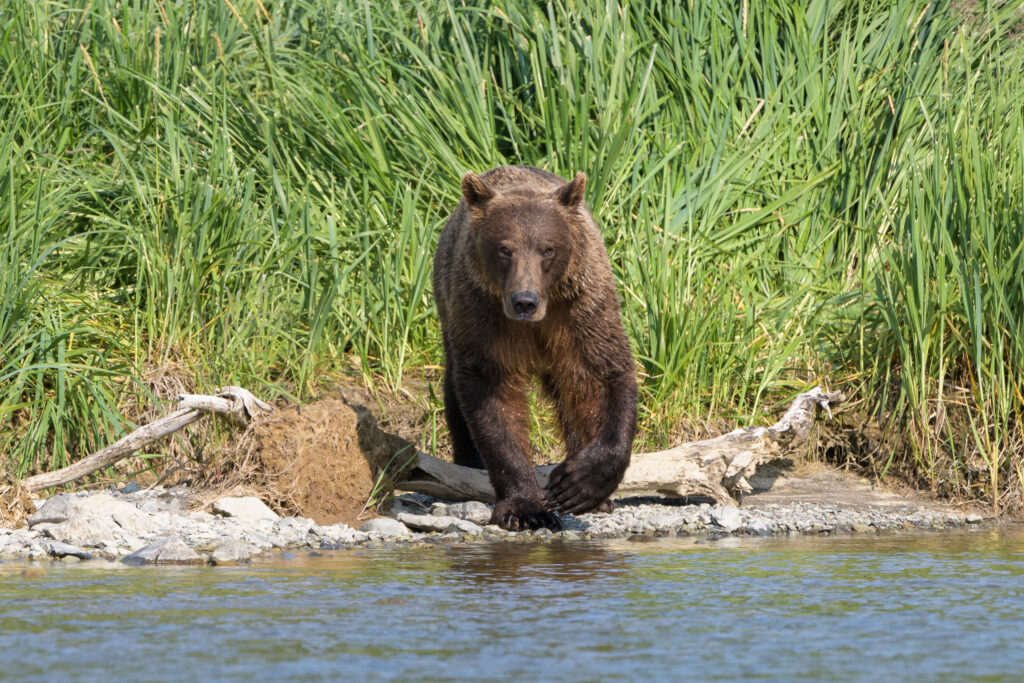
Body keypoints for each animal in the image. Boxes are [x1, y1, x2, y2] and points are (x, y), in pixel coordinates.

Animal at [433, 165, 638, 531]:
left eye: (548, 249)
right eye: (505, 249)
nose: (524, 301)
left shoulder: (582, 307)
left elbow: (603, 374)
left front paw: (580, 484)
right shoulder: (484, 314)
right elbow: (493, 398)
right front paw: (526, 508)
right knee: (454, 388)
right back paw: (468, 461)